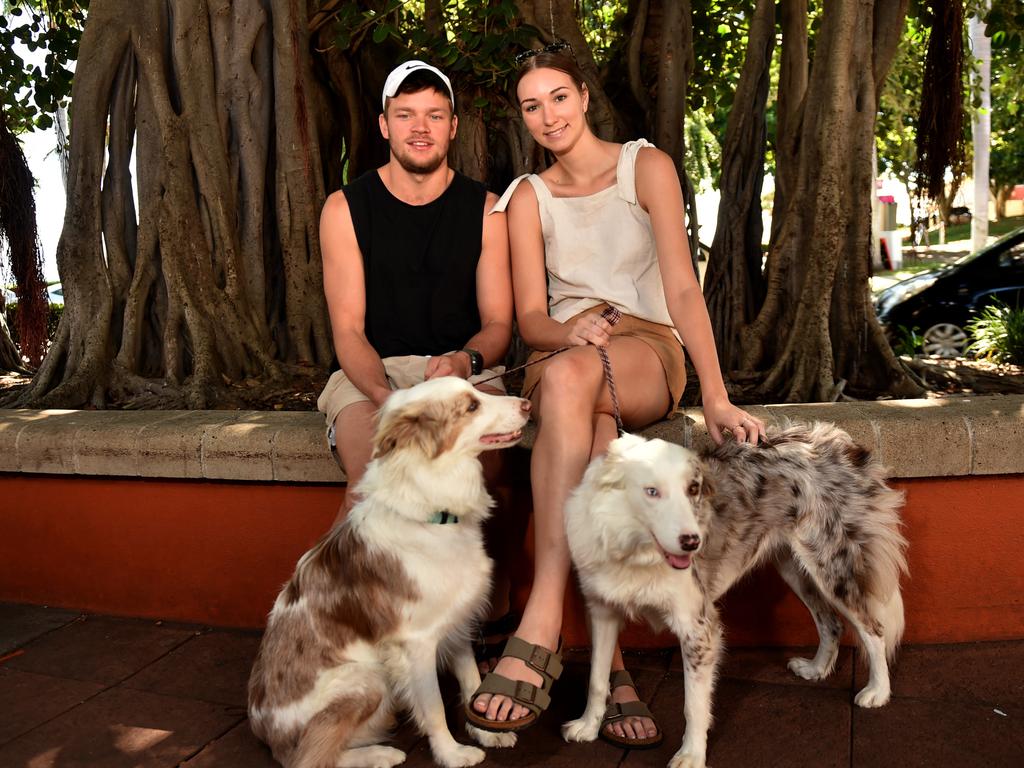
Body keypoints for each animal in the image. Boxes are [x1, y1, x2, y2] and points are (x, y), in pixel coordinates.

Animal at [249, 378, 528, 768]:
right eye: (471, 406)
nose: (528, 404)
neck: (433, 513)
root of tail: (267, 736)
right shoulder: (417, 643)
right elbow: (434, 708)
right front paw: (452, 753)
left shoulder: (456, 620)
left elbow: (471, 681)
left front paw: (486, 731)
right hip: (364, 680)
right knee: (310, 758)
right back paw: (381, 753)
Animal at [565, 428, 909, 768]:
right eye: (651, 491)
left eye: (693, 489)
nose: (693, 542)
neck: (634, 552)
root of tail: (838, 441)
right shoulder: (602, 612)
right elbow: (597, 677)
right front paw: (588, 726)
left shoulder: (698, 627)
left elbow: (694, 704)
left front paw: (691, 755)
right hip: (795, 568)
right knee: (831, 623)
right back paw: (816, 669)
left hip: (831, 567)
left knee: (873, 628)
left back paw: (878, 692)